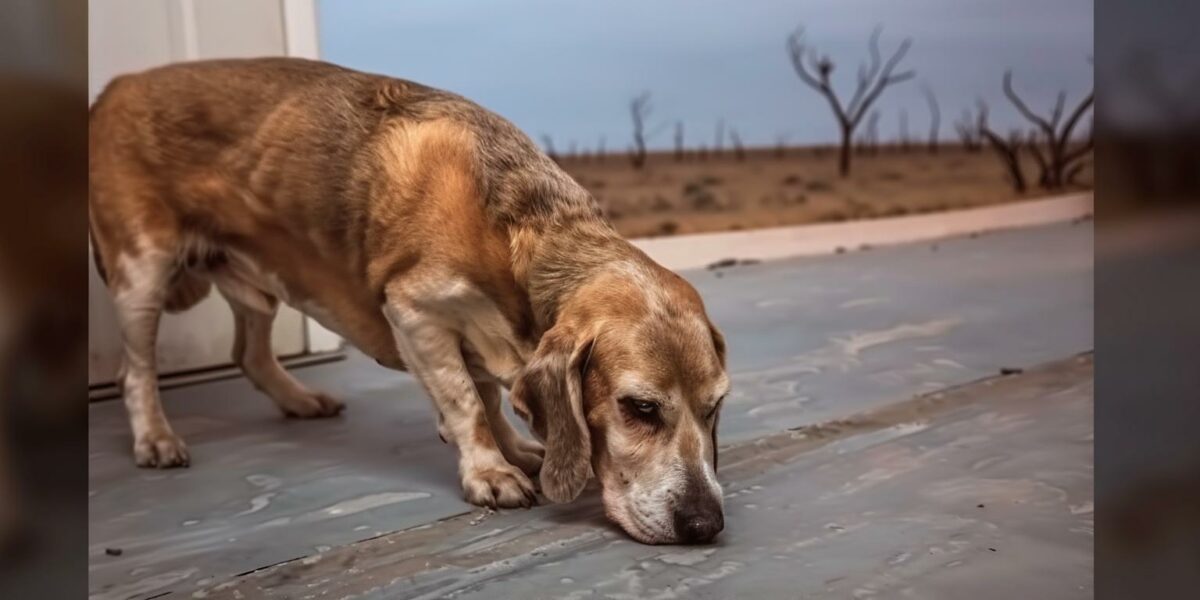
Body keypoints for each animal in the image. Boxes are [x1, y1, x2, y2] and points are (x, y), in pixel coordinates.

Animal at [87, 59, 729, 544]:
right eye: (638, 408)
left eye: (716, 406)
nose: (705, 524)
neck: (518, 233)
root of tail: (116, 86)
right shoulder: (415, 312)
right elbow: (468, 402)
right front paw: (490, 471)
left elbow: (489, 397)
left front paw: (515, 448)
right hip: (143, 271)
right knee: (135, 371)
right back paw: (156, 439)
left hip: (255, 289)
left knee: (250, 353)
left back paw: (299, 400)